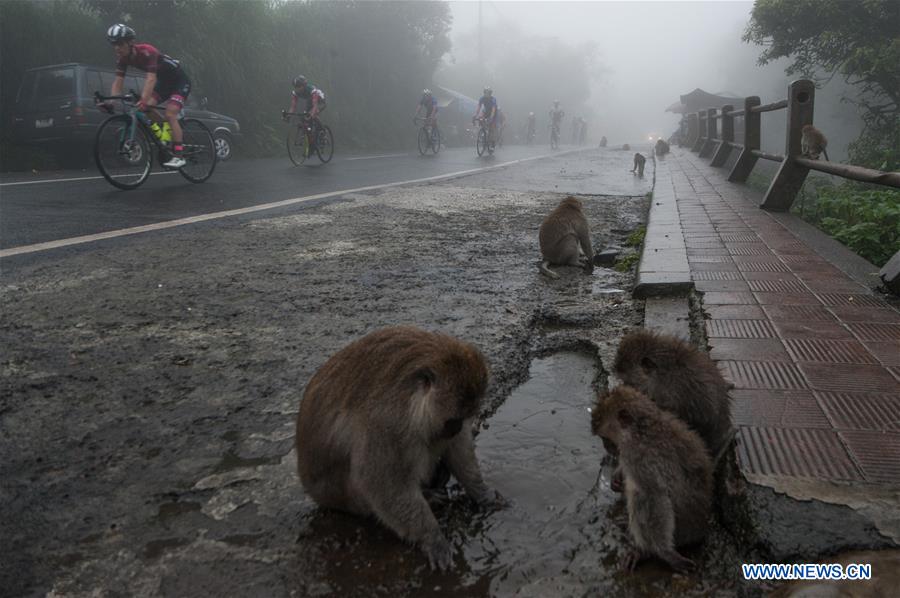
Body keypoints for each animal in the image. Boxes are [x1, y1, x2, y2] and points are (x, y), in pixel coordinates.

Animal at [298, 328, 502, 572]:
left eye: (464, 417)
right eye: (452, 420)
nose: (455, 429)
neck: (412, 399)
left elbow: (459, 450)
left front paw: (481, 492)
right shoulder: (387, 422)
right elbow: (379, 482)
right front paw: (432, 538)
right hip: (341, 495)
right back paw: (427, 495)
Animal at [592, 386, 712, 576]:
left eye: (605, 439)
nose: (607, 448)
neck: (643, 427)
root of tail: (700, 532)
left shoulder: (637, 454)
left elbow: (654, 495)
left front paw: (663, 552)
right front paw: (617, 476)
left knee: (640, 496)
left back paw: (645, 549)